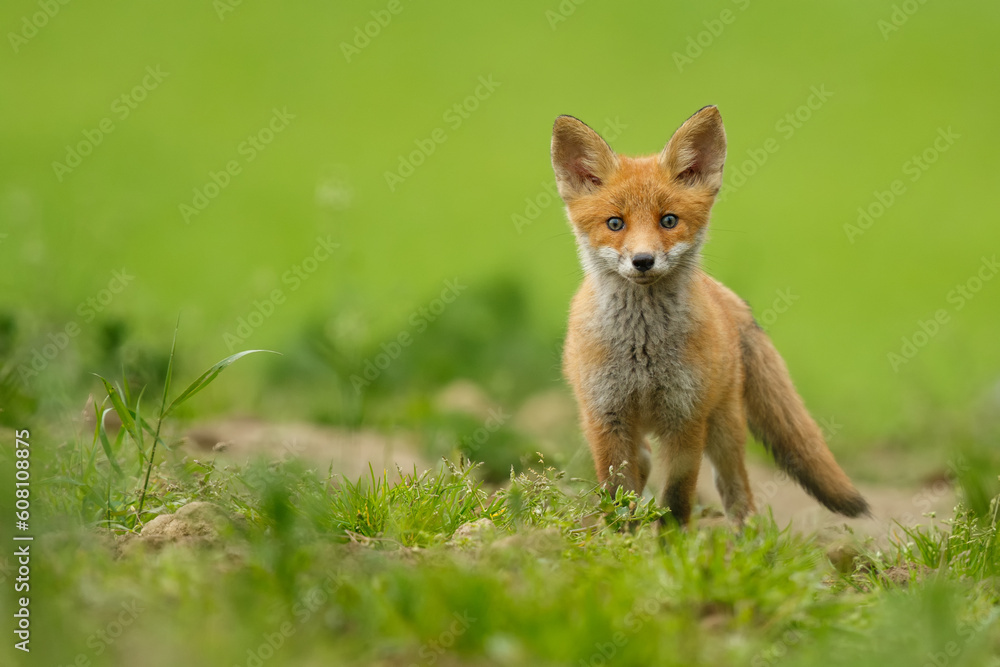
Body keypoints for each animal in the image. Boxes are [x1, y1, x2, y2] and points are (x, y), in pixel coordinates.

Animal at [552, 106, 870, 525]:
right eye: (615, 224)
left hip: (724, 427)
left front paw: (672, 543)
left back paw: (746, 535)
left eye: (669, 221)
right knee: (644, 460)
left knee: (737, 491)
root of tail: (722, 293)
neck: (643, 349)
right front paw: (622, 537)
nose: (643, 261)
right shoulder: (606, 416)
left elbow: (676, 502)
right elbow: (619, 498)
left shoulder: (685, 418)